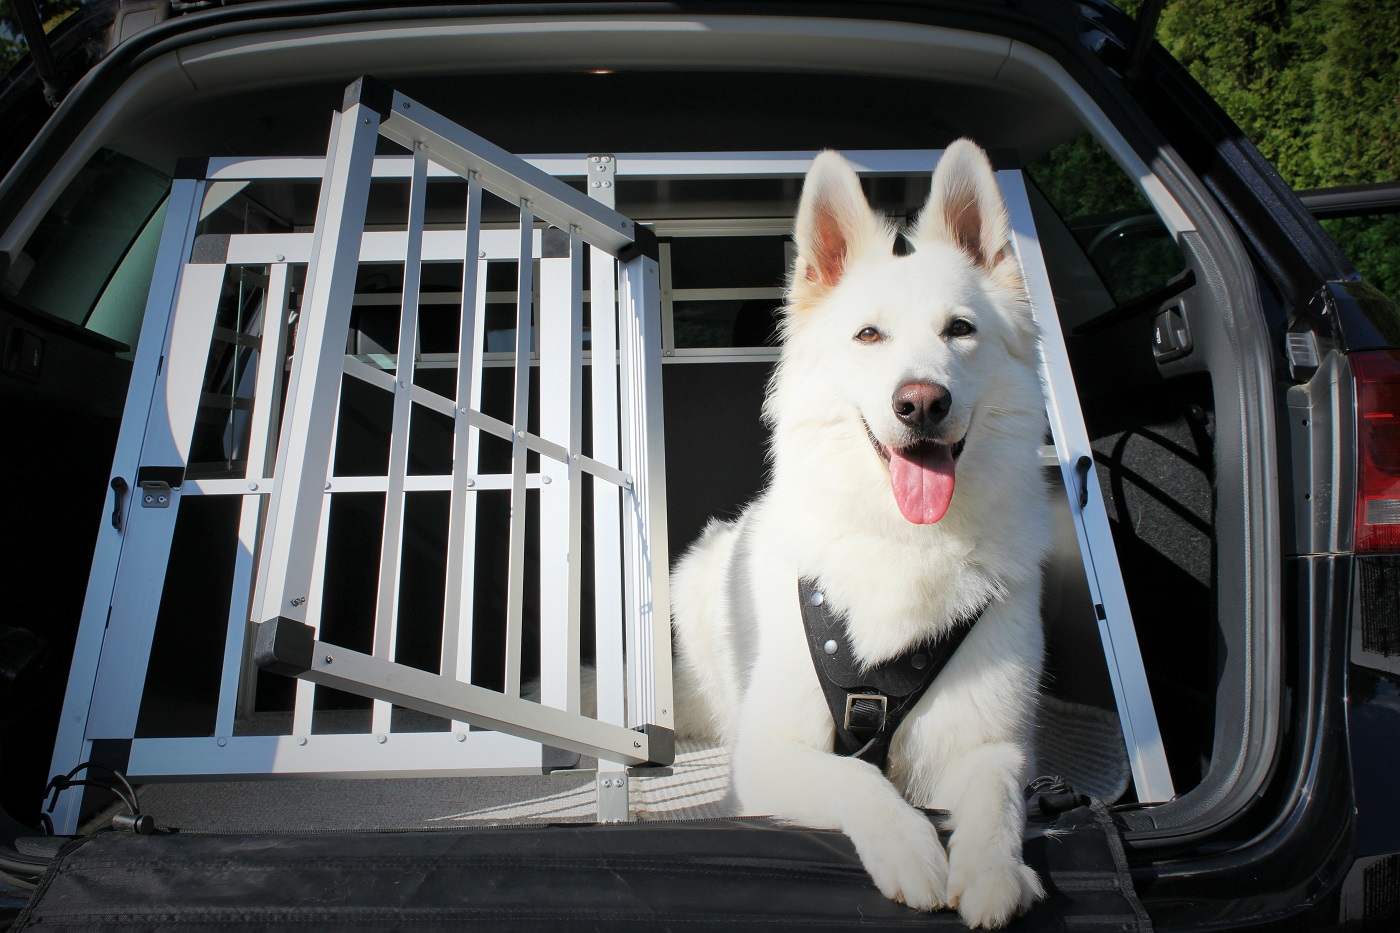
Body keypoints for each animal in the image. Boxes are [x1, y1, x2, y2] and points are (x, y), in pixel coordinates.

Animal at [666, 141, 1052, 924]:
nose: (922, 403)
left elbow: (997, 800)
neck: (904, 541)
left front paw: (994, 870)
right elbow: (859, 780)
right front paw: (910, 849)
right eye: (869, 335)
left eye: (960, 329)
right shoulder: (768, 754)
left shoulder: (994, 745)